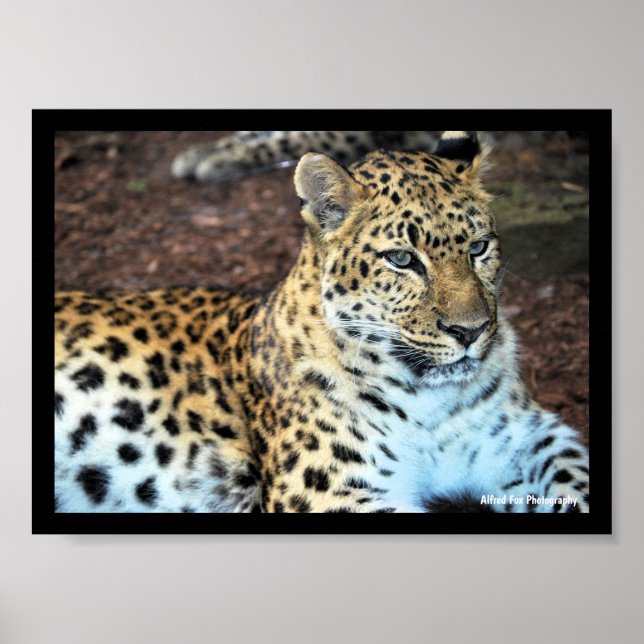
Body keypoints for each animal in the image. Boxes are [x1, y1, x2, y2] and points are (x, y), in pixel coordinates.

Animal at [55, 131, 589, 513]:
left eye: (478, 248)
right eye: (402, 259)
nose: (471, 331)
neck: (430, 401)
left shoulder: (528, 437)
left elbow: (576, 479)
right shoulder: (329, 491)